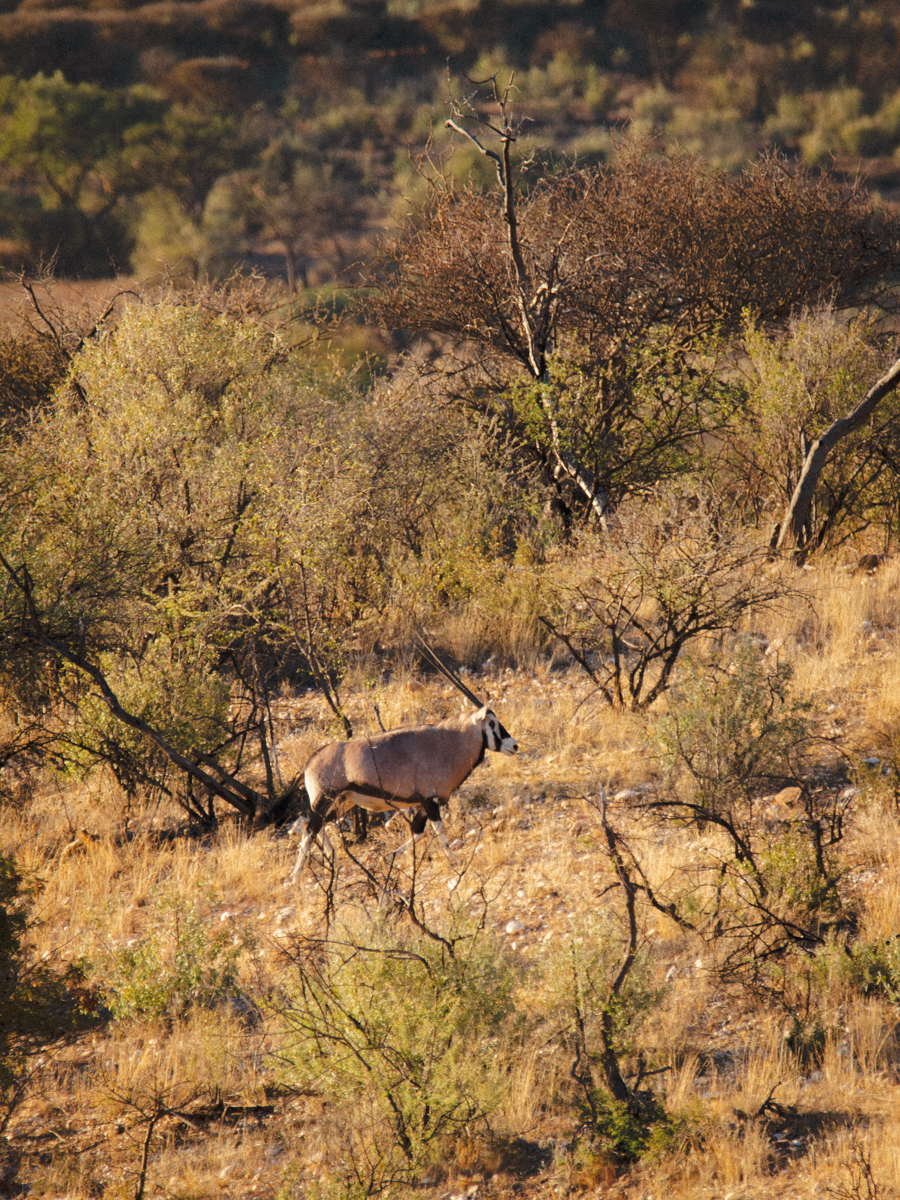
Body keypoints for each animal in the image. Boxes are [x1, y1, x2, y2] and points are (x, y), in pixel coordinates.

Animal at [288, 642, 517, 884]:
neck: (450, 742)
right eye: (492, 723)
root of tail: (311, 761)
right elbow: (439, 830)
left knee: (316, 825)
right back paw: (295, 877)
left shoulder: (426, 803)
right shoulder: (429, 800)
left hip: (343, 802)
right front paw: (454, 859)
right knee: (310, 829)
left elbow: (418, 831)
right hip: (325, 799)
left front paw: (389, 856)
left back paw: (332, 857)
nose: (514, 745)